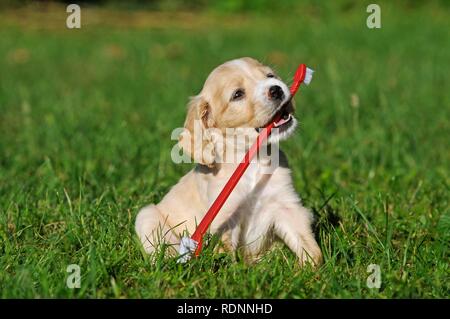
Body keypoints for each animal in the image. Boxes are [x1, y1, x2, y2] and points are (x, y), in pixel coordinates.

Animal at [135, 57, 322, 264]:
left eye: (270, 75)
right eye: (237, 94)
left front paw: (311, 269)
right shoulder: (225, 218)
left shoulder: (286, 205)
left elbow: (309, 246)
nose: (276, 89)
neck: (253, 160)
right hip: (147, 216)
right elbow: (226, 257)